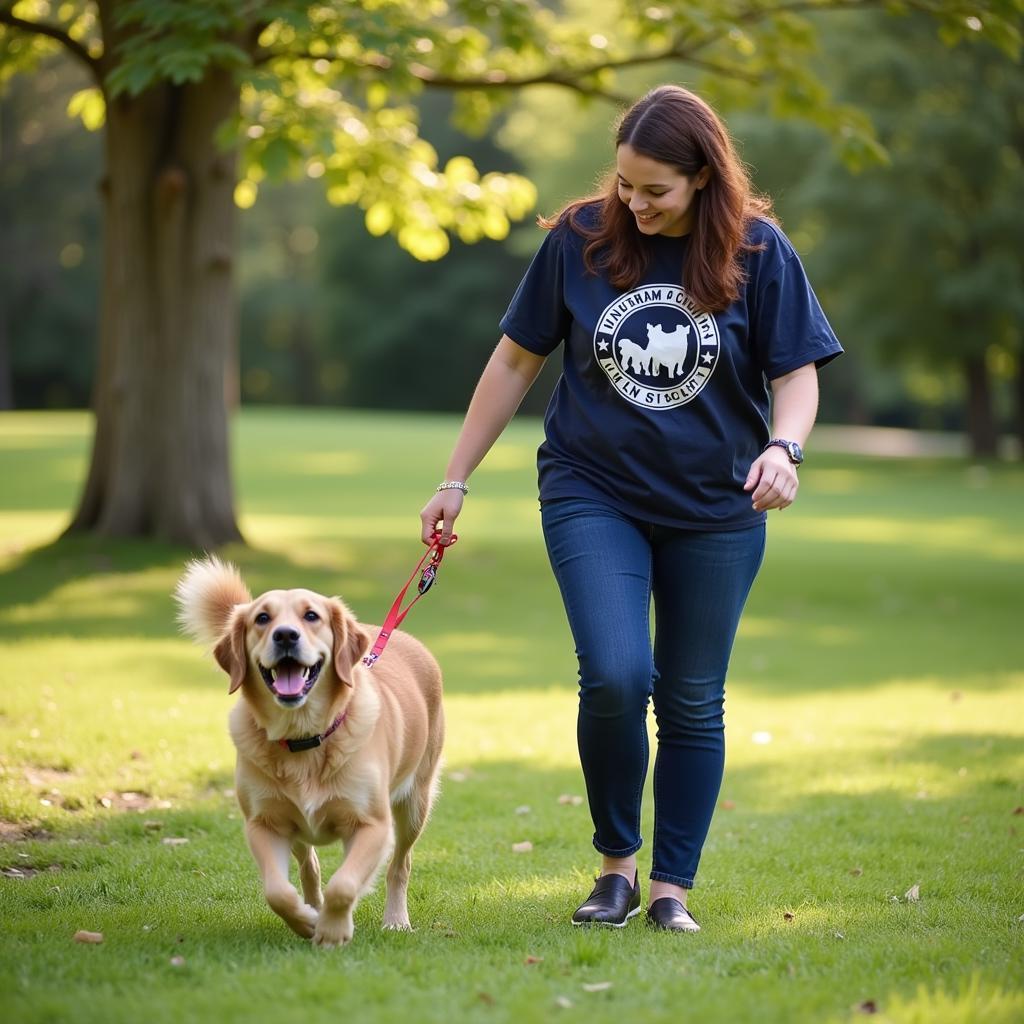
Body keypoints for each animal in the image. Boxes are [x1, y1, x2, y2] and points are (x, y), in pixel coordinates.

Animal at [173, 557, 444, 946]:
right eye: (262, 618)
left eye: (311, 615)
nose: (286, 635)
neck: (304, 737)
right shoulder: (264, 824)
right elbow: (278, 892)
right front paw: (308, 921)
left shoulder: (372, 825)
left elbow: (344, 885)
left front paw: (332, 930)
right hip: (297, 828)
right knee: (309, 867)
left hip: (414, 805)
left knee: (400, 865)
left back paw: (395, 920)